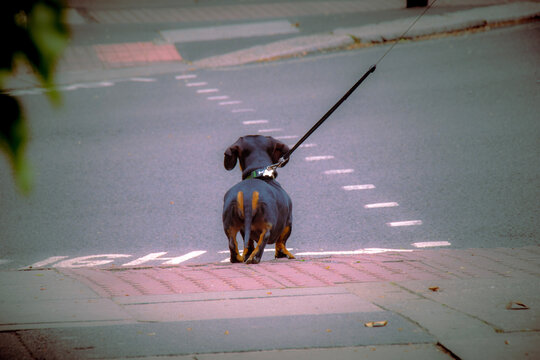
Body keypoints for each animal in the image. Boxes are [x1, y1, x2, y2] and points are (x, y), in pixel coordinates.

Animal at [223, 135, 296, 264]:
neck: (259, 174)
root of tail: (248, 195)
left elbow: (248, 242)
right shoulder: (288, 222)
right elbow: (281, 241)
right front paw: (283, 254)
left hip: (229, 224)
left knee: (232, 242)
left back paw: (239, 258)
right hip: (269, 221)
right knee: (265, 236)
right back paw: (255, 258)